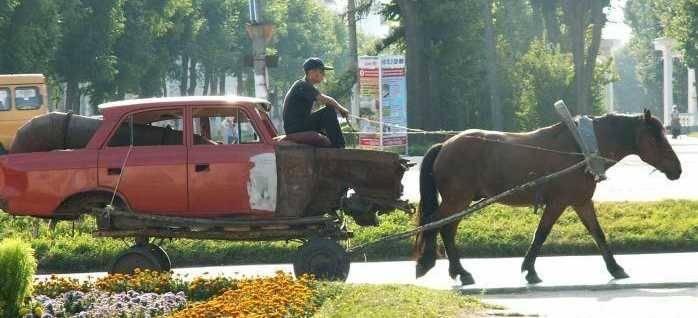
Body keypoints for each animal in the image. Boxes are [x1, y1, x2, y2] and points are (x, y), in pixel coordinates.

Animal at [414, 110, 680, 284]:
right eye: (655, 137)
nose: (677, 169)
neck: (581, 148)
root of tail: (445, 145)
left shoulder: (581, 202)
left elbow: (598, 233)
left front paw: (615, 267)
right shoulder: (558, 203)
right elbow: (541, 234)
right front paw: (529, 270)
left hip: (459, 201)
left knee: (446, 228)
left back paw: (456, 270)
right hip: (457, 200)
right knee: (439, 225)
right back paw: (450, 268)